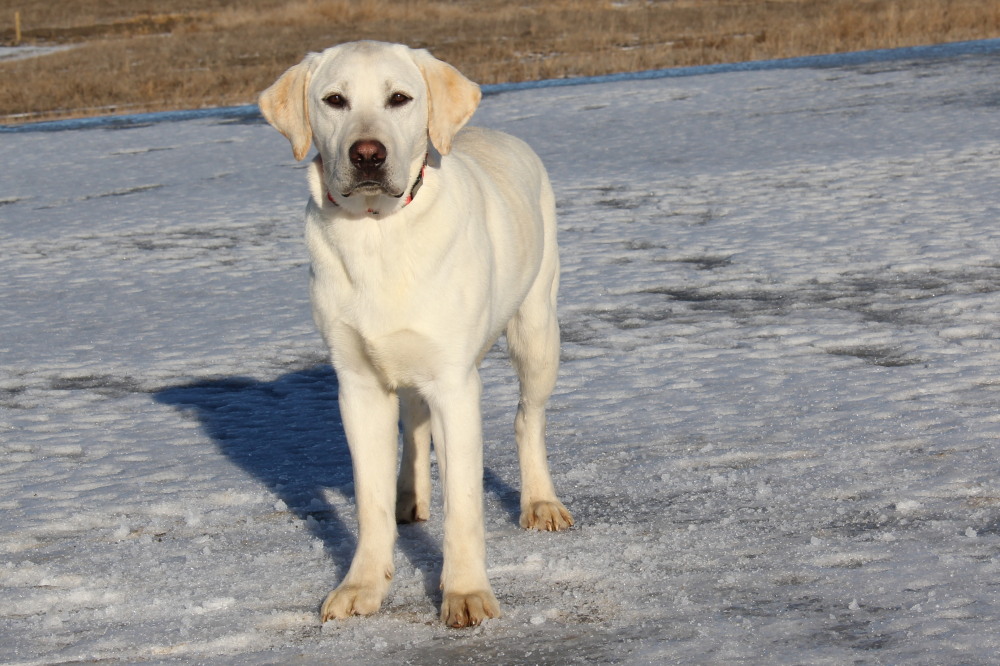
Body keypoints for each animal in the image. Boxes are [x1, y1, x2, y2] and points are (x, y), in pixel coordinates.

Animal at [258, 42, 572, 628]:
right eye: (334, 100)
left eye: (399, 98)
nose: (367, 154)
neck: (377, 231)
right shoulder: (358, 385)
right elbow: (370, 500)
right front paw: (361, 587)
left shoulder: (454, 383)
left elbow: (464, 506)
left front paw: (467, 594)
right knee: (414, 425)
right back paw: (411, 496)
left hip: (538, 330)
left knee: (528, 419)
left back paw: (540, 502)